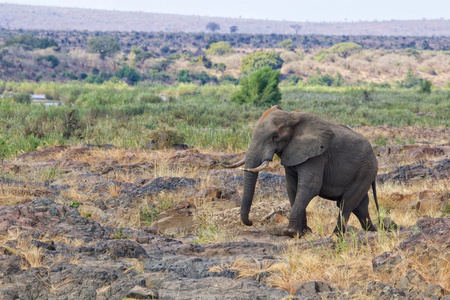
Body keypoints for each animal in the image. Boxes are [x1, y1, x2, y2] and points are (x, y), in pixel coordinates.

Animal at [223, 105, 378, 237]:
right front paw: (302, 232)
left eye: (275, 136)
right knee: (360, 206)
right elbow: (292, 187)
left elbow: (309, 187)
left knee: (347, 202)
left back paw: (336, 235)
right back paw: (373, 230)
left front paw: (290, 232)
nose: (251, 222)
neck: (292, 117)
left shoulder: (318, 155)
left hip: (366, 170)